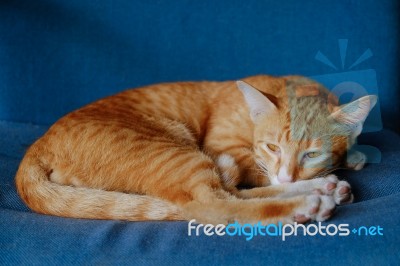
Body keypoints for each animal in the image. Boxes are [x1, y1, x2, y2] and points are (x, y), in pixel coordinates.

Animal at [15, 75, 376, 224]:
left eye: (311, 154)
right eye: (272, 146)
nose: (287, 176)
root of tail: (37, 145)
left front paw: (352, 154)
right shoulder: (224, 147)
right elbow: (256, 174)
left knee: (229, 194)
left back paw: (321, 188)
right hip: (176, 152)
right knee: (211, 205)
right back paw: (308, 203)